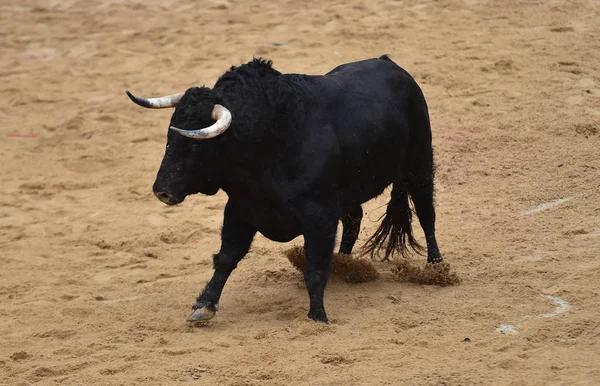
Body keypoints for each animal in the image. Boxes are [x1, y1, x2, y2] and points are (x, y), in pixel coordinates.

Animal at [126, 55, 442, 322]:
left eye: (194, 146)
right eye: (170, 136)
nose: (161, 190)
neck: (269, 141)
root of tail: (391, 64)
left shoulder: (319, 216)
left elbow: (314, 268)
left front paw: (317, 316)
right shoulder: (240, 210)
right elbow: (226, 258)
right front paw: (204, 306)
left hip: (419, 164)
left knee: (426, 213)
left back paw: (437, 268)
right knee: (354, 220)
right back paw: (344, 265)